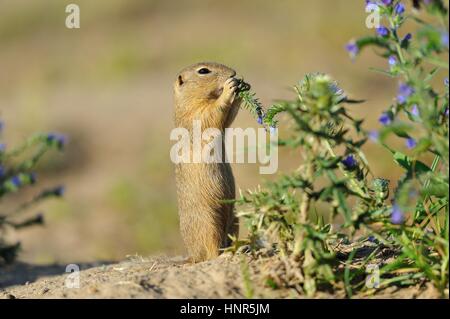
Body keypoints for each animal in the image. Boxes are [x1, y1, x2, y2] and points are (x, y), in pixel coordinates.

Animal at [173, 62, 243, 262]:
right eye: (203, 71)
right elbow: (211, 114)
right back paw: (224, 255)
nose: (234, 73)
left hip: (235, 217)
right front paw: (229, 88)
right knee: (211, 251)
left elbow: (226, 120)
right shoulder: (195, 115)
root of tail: (193, 255)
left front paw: (241, 88)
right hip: (208, 221)